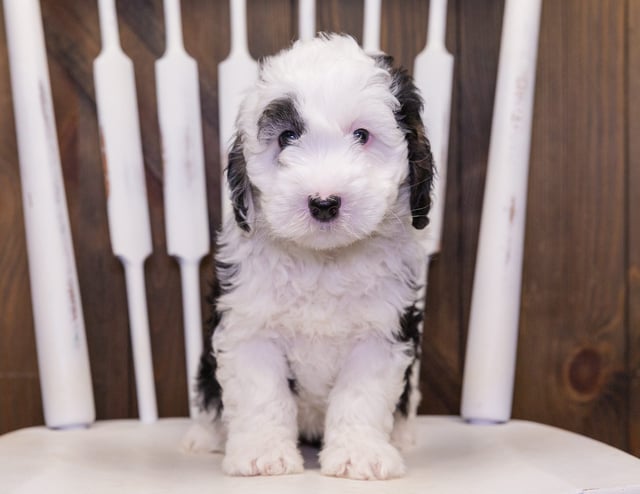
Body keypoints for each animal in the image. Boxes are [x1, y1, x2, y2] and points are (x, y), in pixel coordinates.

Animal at [184, 32, 436, 480]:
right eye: (286, 137)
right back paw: (204, 436)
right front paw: (262, 455)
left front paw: (358, 454)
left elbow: (361, 397)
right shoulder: (250, 329)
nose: (323, 203)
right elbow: (262, 396)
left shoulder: (382, 333)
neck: (323, 262)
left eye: (361, 136)